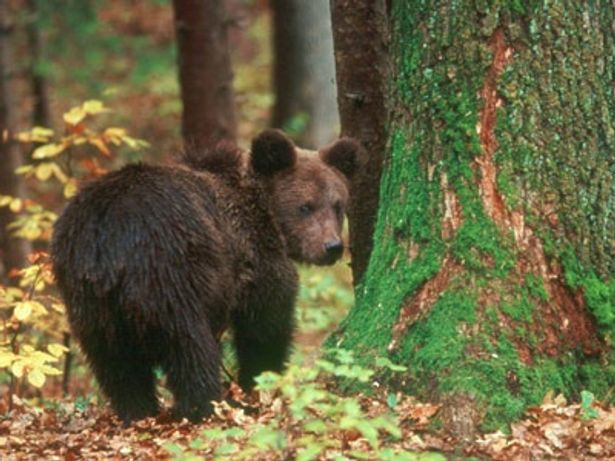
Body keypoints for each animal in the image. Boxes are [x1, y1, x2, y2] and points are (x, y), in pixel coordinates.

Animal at [53, 129, 360, 424]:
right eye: (305, 206)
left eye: (337, 205)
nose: (332, 246)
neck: (264, 213)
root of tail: (108, 239)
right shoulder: (255, 261)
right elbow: (265, 325)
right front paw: (260, 380)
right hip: (170, 275)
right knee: (190, 346)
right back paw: (203, 406)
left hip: (88, 299)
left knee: (114, 361)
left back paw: (137, 410)